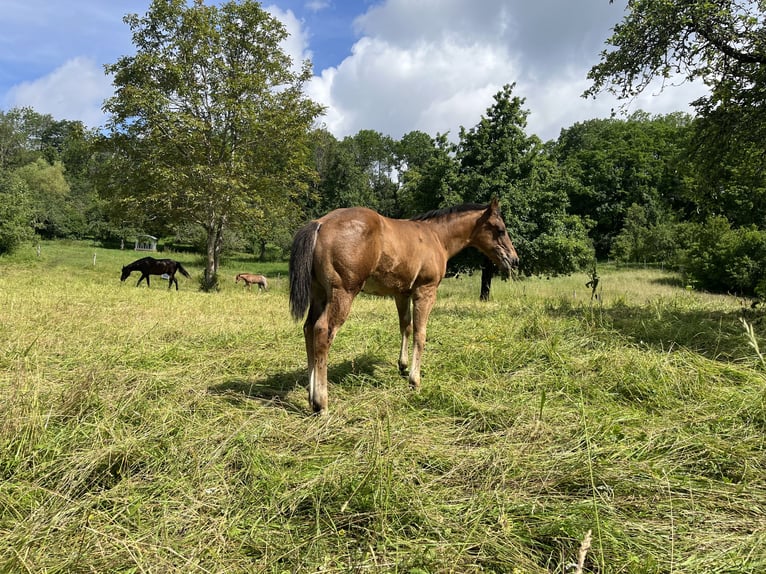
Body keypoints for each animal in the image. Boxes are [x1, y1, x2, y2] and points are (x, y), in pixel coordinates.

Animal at [290, 198, 520, 414]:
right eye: (500, 229)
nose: (514, 260)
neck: (436, 237)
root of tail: (320, 223)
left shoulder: (401, 293)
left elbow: (406, 326)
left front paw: (403, 366)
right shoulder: (425, 291)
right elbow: (420, 333)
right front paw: (414, 380)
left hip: (319, 293)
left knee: (308, 329)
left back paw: (311, 396)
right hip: (343, 293)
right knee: (322, 331)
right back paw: (321, 403)